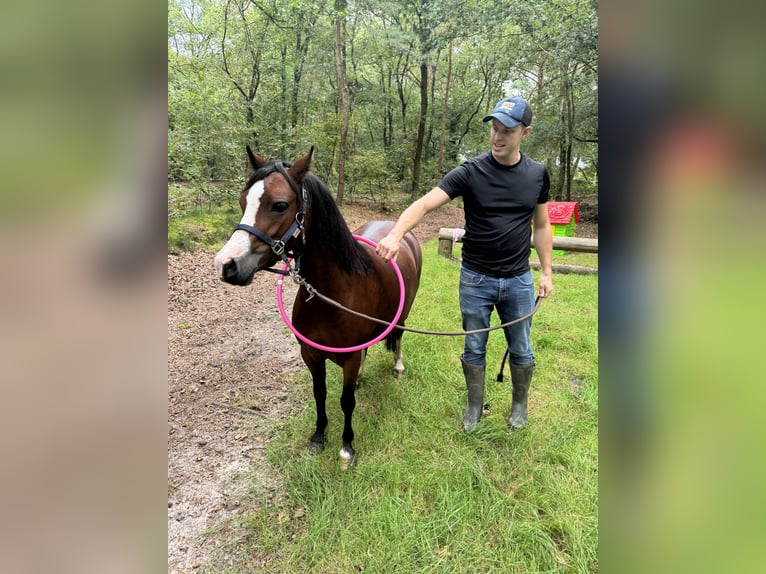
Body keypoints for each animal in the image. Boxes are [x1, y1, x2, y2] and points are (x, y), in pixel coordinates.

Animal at [213, 146, 424, 470]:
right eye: (242, 201)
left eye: (279, 205)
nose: (227, 264)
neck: (332, 295)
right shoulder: (310, 354)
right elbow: (320, 393)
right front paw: (318, 436)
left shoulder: (348, 359)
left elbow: (346, 401)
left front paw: (347, 447)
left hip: (403, 314)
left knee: (398, 337)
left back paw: (398, 366)